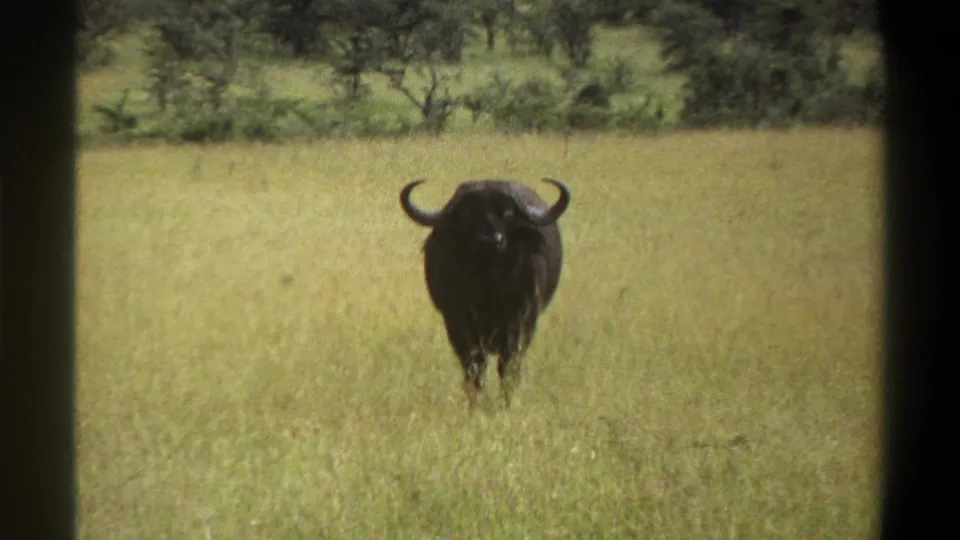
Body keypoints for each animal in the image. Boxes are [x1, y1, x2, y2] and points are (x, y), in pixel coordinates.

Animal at [399, 177, 571, 409]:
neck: (489, 286)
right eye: (466, 213)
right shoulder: (458, 325)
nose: (490, 240)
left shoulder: (521, 324)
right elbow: (474, 368)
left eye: (507, 213)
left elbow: (508, 368)